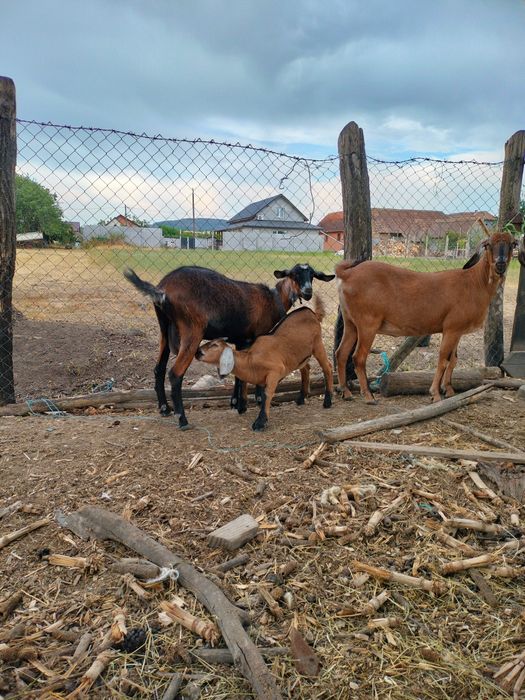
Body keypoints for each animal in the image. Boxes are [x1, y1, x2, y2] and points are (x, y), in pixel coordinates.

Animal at [195, 295, 333, 430]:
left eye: (215, 345)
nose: (198, 352)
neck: (250, 360)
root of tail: (312, 313)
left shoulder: (275, 371)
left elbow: (266, 394)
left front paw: (260, 422)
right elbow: (261, 394)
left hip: (318, 345)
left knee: (327, 367)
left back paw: (327, 401)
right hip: (299, 356)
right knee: (306, 368)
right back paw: (301, 398)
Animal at [335, 228, 520, 404]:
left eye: (512, 244)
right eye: (488, 245)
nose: (500, 264)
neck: (475, 282)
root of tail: (347, 274)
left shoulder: (458, 330)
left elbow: (453, 360)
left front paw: (449, 390)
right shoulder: (451, 328)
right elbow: (443, 360)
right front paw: (435, 394)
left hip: (350, 322)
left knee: (341, 353)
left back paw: (346, 393)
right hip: (367, 323)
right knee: (358, 357)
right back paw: (368, 396)